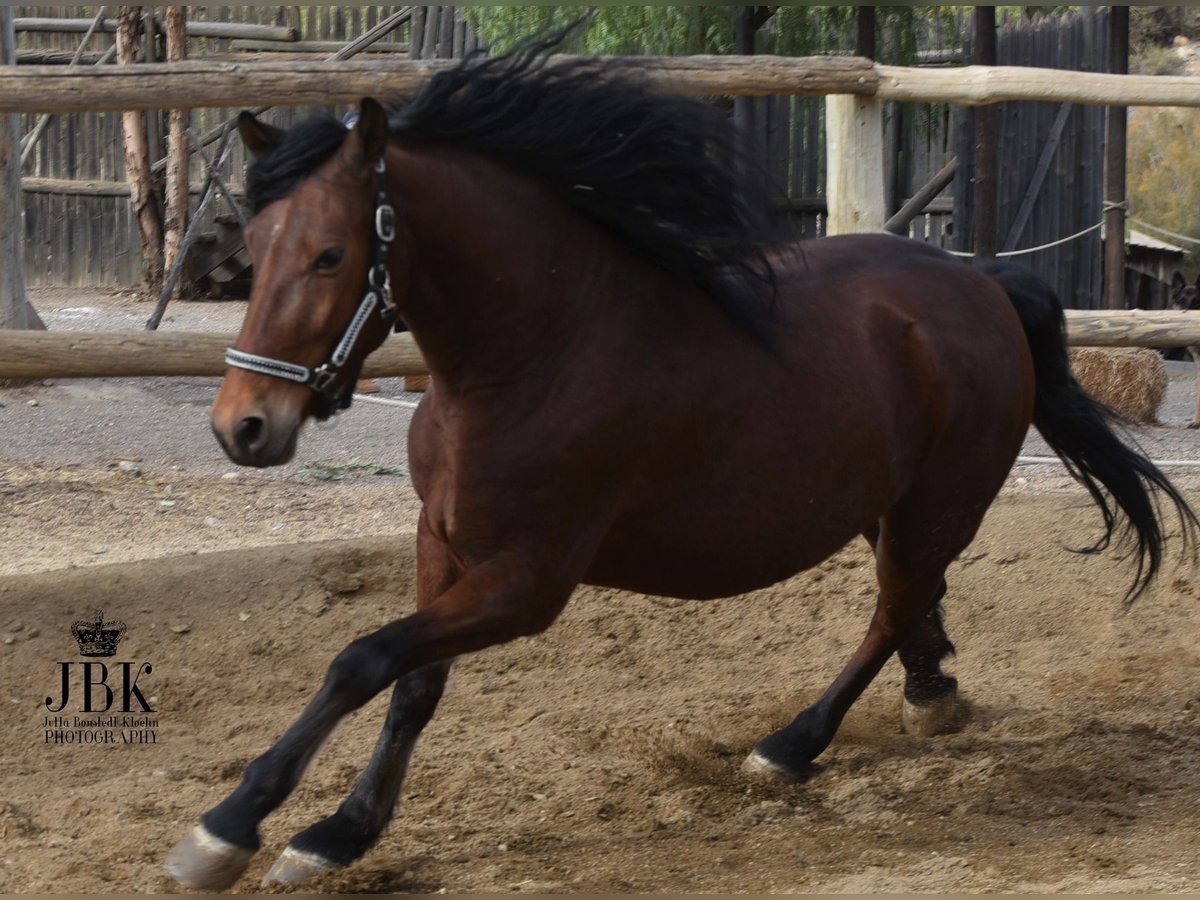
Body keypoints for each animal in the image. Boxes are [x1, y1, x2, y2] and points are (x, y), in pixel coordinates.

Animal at [164, 40, 1195, 888]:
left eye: (330, 253)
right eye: (254, 245)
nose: (242, 427)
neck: (532, 356)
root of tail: (981, 278)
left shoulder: (529, 582)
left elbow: (361, 658)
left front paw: (233, 830)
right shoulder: (442, 542)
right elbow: (411, 682)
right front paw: (340, 833)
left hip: (939, 502)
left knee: (892, 607)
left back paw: (792, 745)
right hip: (887, 502)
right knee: (917, 602)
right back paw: (929, 694)